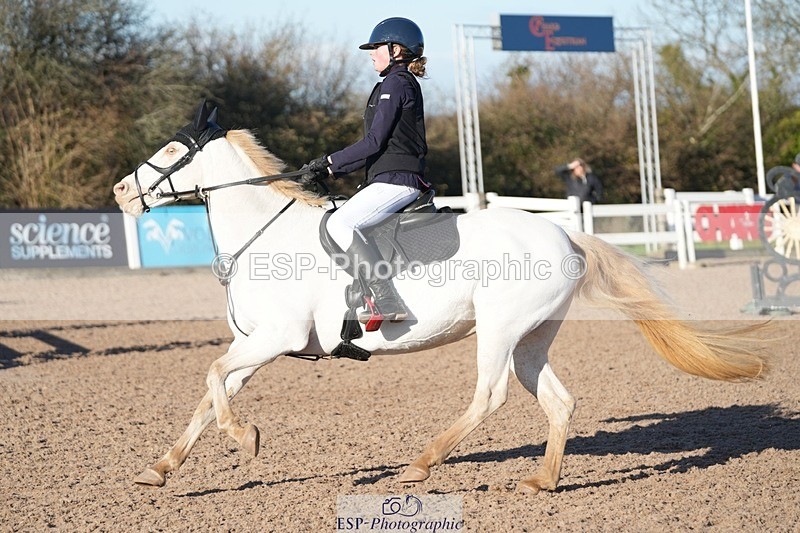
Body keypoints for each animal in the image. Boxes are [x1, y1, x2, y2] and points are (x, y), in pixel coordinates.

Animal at [113, 102, 767, 493]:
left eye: (171, 151)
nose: (120, 192)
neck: (264, 232)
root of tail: (563, 233)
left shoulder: (278, 338)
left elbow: (210, 375)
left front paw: (244, 439)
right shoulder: (256, 343)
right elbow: (211, 390)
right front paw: (161, 468)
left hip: (499, 329)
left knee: (489, 395)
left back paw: (421, 464)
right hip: (531, 338)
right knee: (557, 402)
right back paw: (542, 481)